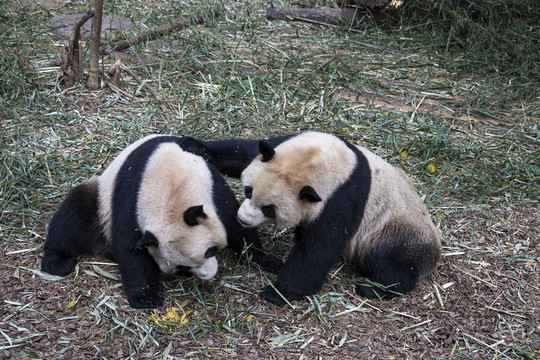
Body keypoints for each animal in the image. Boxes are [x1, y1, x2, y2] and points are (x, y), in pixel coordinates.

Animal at [41, 135, 282, 310]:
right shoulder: (129, 199)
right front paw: (146, 297)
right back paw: (56, 262)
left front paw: (267, 260)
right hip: (101, 201)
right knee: (74, 216)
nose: (208, 275)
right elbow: (130, 247)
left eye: (210, 251)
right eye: (183, 266)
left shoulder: (213, 188)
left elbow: (236, 225)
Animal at [200, 132, 440, 306]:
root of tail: (434, 256)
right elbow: (243, 153)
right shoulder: (284, 144)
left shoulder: (341, 199)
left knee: (391, 264)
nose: (244, 219)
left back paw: (374, 288)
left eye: (269, 209)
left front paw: (279, 292)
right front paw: (198, 147)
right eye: (248, 190)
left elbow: (319, 248)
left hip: (395, 232)